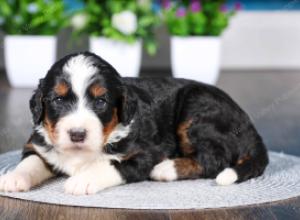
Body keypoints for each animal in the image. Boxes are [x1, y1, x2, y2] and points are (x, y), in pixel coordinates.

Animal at [0, 52, 268, 195]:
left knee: (214, 159)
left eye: (100, 102)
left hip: (196, 106)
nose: (77, 134)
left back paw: (166, 169)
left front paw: (82, 180)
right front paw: (13, 178)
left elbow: (110, 165)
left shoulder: (145, 153)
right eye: (58, 99)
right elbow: (31, 162)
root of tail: (249, 125)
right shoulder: (38, 144)